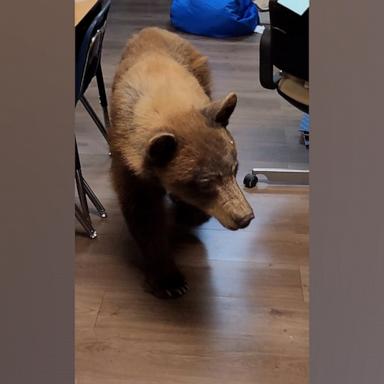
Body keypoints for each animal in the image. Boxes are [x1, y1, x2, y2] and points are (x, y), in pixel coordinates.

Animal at [109, 27, 254, 300]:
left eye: (235, 168)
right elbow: (143, 214)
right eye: (205, 182)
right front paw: (170, 281)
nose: (245, 217)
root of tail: (153, 29)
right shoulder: (128, 160)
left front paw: (192, 212)